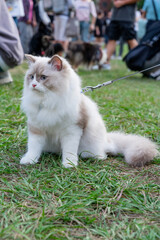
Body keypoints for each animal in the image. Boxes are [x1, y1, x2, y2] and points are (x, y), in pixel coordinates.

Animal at [20, 54, 159, 168]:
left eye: (43, 77)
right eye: (31, 77)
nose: (33, 85)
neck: (47, 101)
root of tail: (107, 141)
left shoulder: (72, 130)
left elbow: (69, 150)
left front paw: (69, 164)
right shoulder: (36, 129)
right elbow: (33, 148)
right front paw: (29, 160)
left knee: (102, 155)